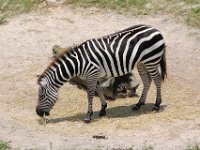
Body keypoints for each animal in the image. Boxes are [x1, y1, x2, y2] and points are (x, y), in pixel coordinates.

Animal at [36, 24, 167, 123]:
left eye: (41, 96)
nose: (37, 113)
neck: (78, 63)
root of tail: (155, 29)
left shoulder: (91, 74)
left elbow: (90, 94)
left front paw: (88, 116)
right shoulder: (94, 75)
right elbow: (98, 90)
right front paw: (103, 109)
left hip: (151, 60)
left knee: (157, 79)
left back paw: (156, 105)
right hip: (141, 63)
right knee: (147, 80)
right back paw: (139, 104)